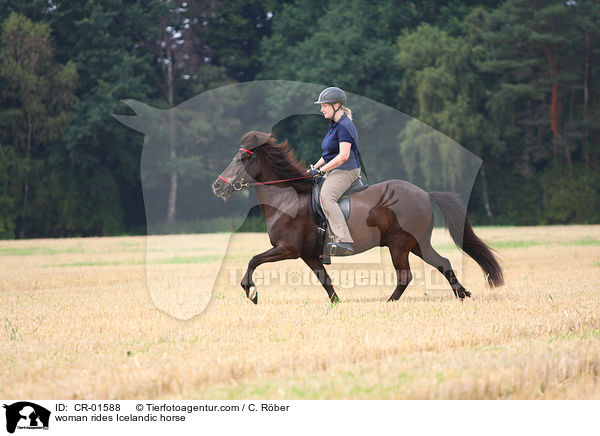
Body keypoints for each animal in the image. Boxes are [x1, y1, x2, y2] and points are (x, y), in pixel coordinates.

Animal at [211, 131, 502, 304]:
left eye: (241, 159)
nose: (216, 187)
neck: (287, 198)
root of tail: (424, 194)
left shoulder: (288, 249)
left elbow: (253, 260)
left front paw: (251, 292)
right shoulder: (308, 254)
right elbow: (324, 280)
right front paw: (337, 303)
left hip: (399, 244)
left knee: (405, 276)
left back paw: (390, 302)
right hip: (418, 243)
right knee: (443, 263)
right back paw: (462, 294)